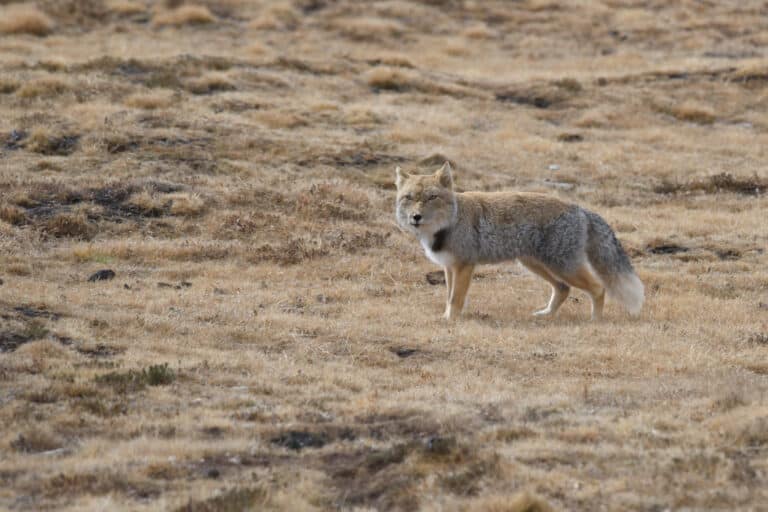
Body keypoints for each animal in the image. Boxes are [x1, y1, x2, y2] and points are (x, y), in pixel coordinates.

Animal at [395, 162, 644, 321]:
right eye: (409, 198)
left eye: (432, 197)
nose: (415, 217)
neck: (449, 224)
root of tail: (580, 208)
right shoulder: (449, 267)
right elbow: (448, 297)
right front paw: (447, 316)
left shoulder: (464, 265)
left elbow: (455, 298)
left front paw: (450, 320)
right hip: (536, 264)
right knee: (563, 289)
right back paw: (547, 315)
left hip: (564, 266)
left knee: (598, 288)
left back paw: (595, 320)